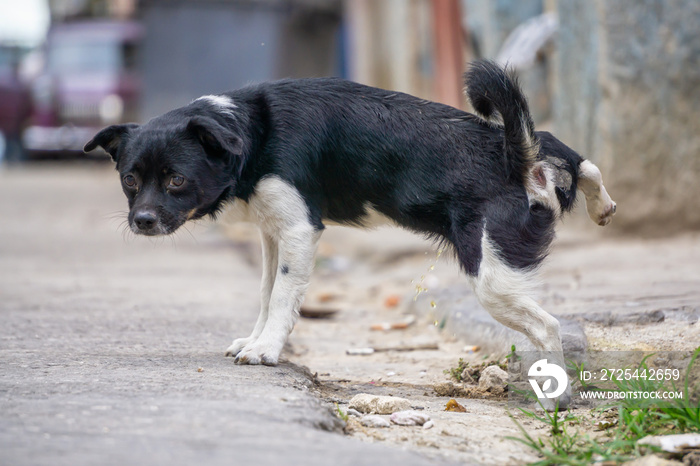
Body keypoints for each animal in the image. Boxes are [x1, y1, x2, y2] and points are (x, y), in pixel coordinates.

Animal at [85, 62, 616, 372]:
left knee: (548, 328)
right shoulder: (273, 234)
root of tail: (516, 160)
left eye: (175, 180)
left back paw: (551, 394)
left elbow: (282, 298)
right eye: (130, 180)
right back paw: (600, 203)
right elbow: (266, 294)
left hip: (492, 277)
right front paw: (255, 339)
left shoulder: (299, 230)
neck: (250, 130)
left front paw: (267, 350)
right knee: (569, 152)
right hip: (534, 177)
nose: (142, 221)